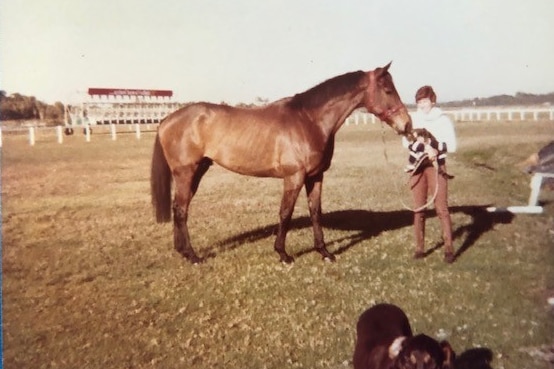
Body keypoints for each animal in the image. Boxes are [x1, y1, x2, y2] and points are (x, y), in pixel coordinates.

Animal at [150, 64, 410, 264]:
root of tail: (166, 119)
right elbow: (285, 212)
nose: (406, 125)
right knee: (181, 210)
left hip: (198, 171)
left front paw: (324, 252)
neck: (309, 120)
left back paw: (182, 251)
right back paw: (193, 256)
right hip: (186, 173)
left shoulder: (316, 176)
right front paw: (283, 254)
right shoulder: (294, 177)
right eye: (388, 90)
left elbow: (316, 212)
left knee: (178, 208)